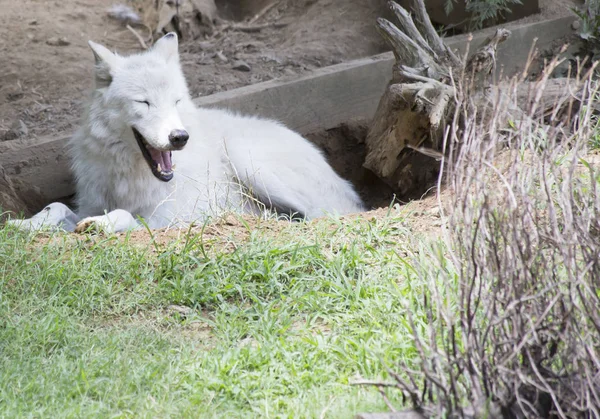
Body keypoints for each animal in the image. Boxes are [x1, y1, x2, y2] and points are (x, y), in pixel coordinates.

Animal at [8, 33, 366, 233]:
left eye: (176, 101)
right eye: (144, 102)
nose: (179, 137)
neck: (127, 175)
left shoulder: (166, 219)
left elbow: (124, 216)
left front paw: (101, 226)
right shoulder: (89, 203)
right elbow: (56, 207)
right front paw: (22, 224)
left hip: (248, 158)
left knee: (326, 215)